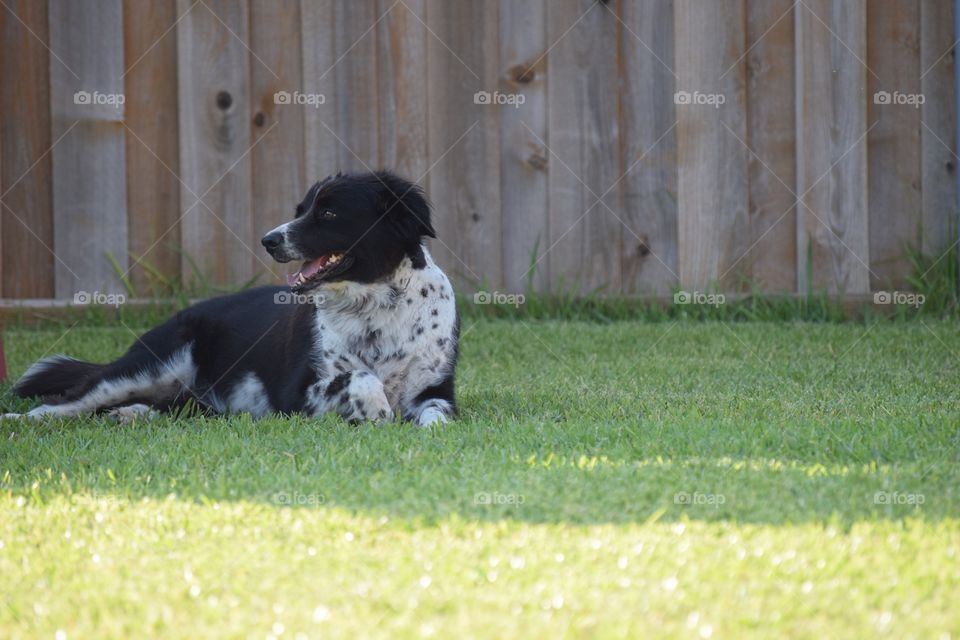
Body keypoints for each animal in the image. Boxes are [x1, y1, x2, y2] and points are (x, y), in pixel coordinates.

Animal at [3, 172, 460, 428]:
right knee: (67, 402)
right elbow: (362, 378)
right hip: (145, 366)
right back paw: (22, 421)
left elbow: (438, 420)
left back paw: (132, 415)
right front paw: (378, 412)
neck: (375, 308)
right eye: (302, 208)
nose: (269, 240)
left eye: (328, 213)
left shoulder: (436, 391)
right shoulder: (296, 392)